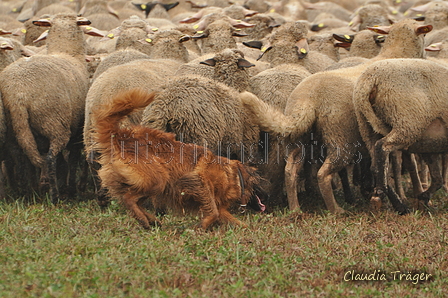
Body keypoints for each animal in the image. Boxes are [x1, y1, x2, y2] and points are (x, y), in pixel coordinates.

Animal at [0, 12, 100, 201]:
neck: (66, 52)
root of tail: (18, 93)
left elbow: (62, 162)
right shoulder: (77, 130)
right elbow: (71, 159)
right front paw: (70, 188)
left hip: (14, 129)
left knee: (20, 157)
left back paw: (25, 193)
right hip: (54, 123)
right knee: (50, 158)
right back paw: (54, 196)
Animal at [92, 88, 264, 228]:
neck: (233, 175)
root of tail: (121, 137)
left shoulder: (219, 205)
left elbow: (229, 218)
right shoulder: (199, 180)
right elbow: (214, 212)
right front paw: (202, 227)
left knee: (132, 200)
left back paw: (151, 220)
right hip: (157, 179)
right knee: (129, 199)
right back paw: (145, 220)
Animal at [242, 18, 434, 214]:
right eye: (424, 34)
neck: (395, 53)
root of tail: (309, 98)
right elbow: (404, 165)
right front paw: (414, 195)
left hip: (300, 138)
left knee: (290, 171)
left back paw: (296, 209)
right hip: (340, 138)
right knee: (323, 173)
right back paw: (336, 209)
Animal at [352, 58, 448, 211]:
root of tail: (370, 79)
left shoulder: (429, 145)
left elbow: (437, 178)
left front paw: (424, 197)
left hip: (366, 125)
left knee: (376, 165)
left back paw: (398, 205)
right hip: (406, 121)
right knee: (382, 147)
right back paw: (381, 195)